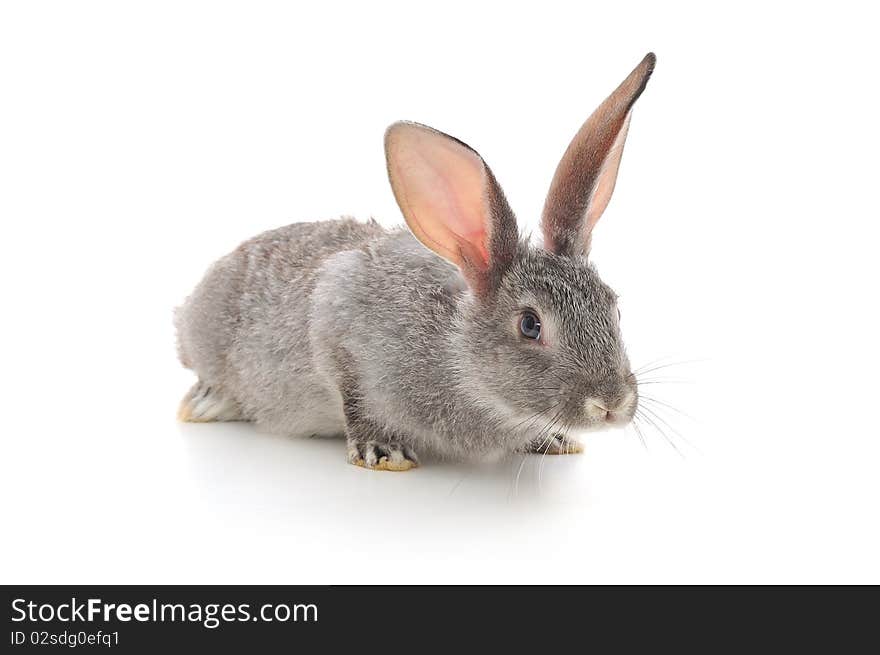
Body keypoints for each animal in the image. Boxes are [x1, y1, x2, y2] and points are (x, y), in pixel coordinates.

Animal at [175, 51, 656, 472]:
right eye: (530, 325)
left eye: (613, 308)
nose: (612, 404)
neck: (456, 351)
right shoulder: (339, 323)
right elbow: (356, 399)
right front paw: (384, 452)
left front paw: (551, 439)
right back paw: (205, 402)